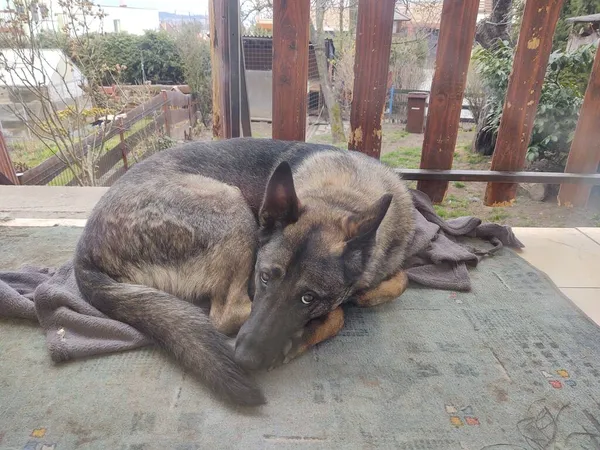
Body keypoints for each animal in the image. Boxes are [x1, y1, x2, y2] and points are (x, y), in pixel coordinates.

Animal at [72, 139, 414, 406]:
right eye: (264, 277)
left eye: (308, 297)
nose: (244, 359)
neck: (343, 194)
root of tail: (84, 252)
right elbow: (340, 313)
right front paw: (309, 332)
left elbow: (402, 278)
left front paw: (368, 292)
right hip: (232, 204)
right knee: (225, 315)